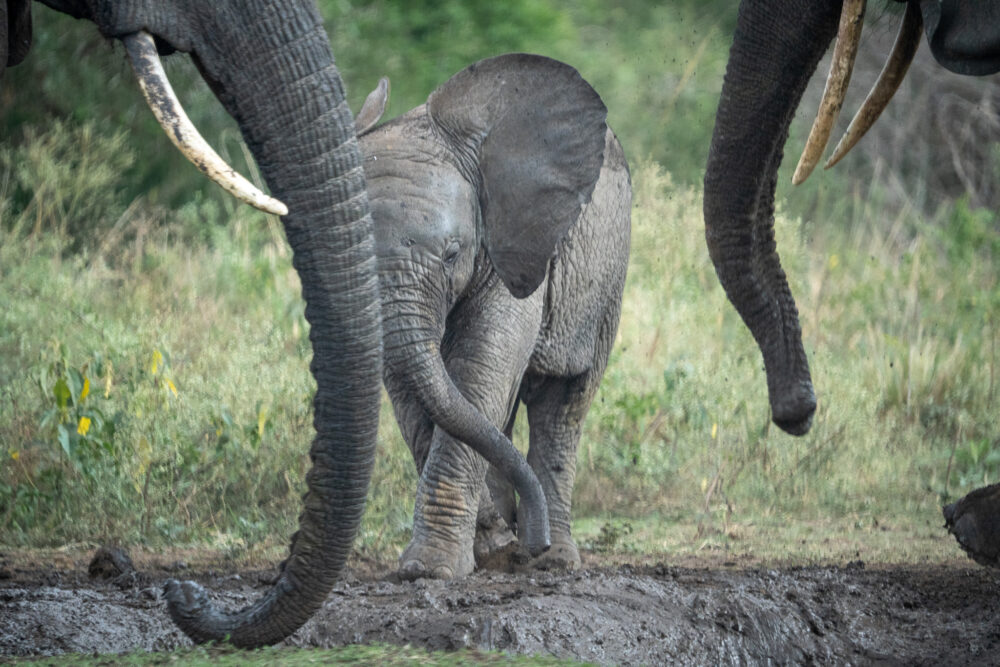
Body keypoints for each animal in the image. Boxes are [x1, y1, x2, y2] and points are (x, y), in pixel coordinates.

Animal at [353, 53, 631, 580]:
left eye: (452, 254)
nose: (530, 541)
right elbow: (417, 395)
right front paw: (489, 545)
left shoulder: (514, 243)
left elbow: (479, 372)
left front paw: (434, 568)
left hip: (608, 282)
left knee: (563, 403)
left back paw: (554, 560)